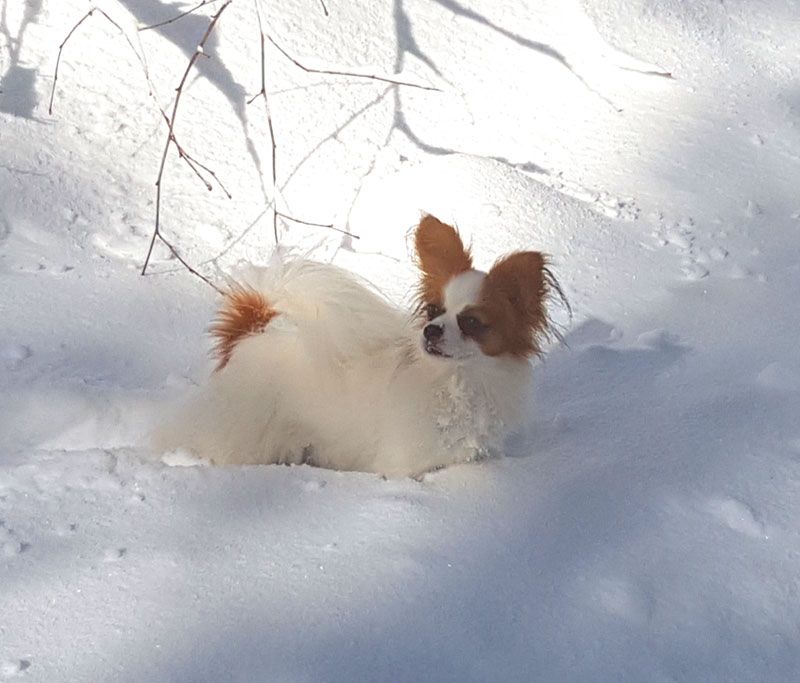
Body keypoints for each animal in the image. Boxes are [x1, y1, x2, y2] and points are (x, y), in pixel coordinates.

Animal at [158, 216, 564, 478]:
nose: (430, 331)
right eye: (433, 310)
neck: (455, 383)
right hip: (247, 438)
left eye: (472, 323)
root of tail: (250, 332)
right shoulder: (403, 466)